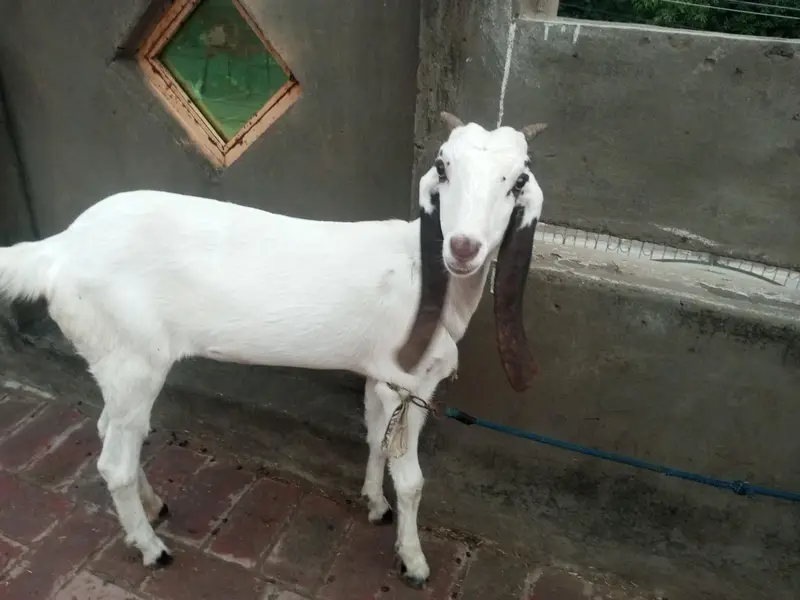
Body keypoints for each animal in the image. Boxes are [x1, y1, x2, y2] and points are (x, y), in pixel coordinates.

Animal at [0, 112, 547, 589]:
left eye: (518, 180)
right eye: (443, 167)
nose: (463, 247)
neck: (423, 269)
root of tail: (58, 249)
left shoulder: (384, 375)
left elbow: (374, 438)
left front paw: (373, 503)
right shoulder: (407, 380)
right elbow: (411, 480)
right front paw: (412, 561)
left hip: (115, 361)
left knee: (110, 431)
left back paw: (153, 506)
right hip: (133, 359)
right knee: (113, 461)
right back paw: (151, 547)